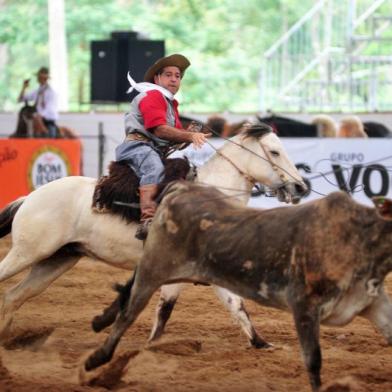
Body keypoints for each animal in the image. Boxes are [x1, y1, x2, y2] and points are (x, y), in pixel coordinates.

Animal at [0, 125, 306, 346]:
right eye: (274, 152)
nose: (301, 187)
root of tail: (30, 197)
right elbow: (165, 311)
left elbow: (236, 307)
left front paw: (263, 344)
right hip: (27, 252)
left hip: (56, 260)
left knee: (13, 297)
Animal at [85, 182, 392, 390]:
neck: (357, 237)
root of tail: (184, 188)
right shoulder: (304, 306)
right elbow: (313, 361)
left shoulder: (374, 302)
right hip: (154, 269)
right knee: (128, 313)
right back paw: (96, 359)